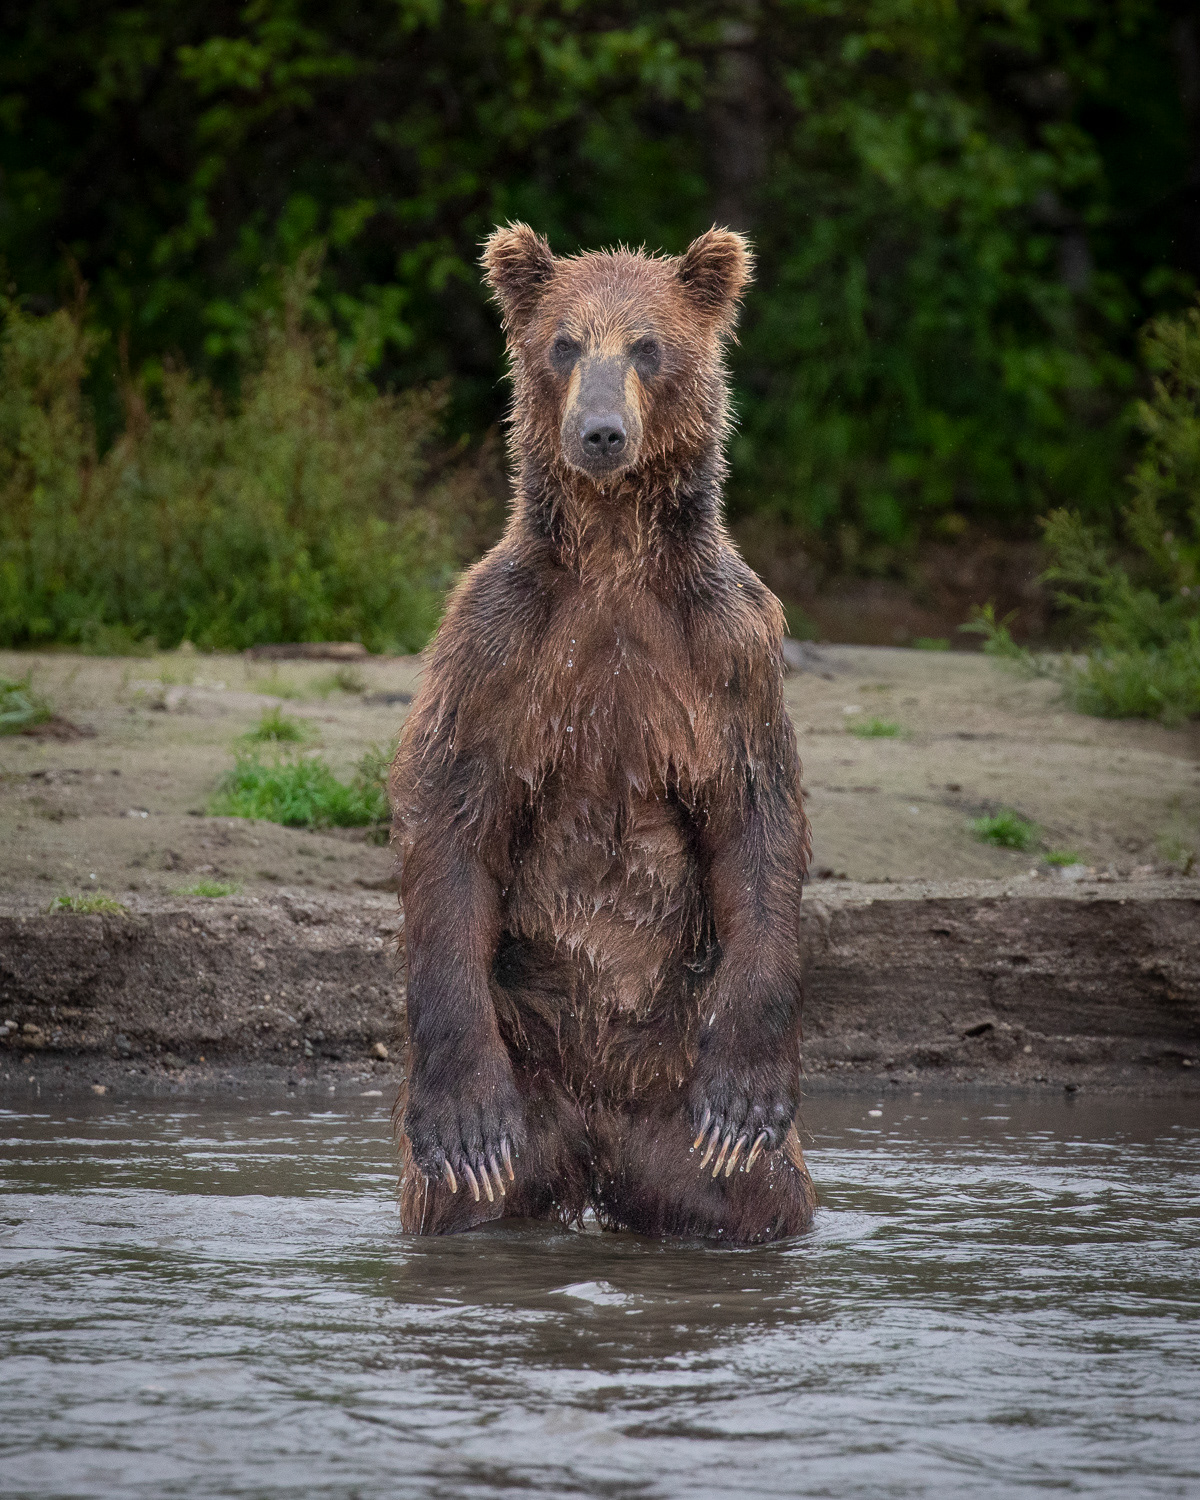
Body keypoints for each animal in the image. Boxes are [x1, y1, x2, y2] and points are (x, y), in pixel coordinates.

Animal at [389, 224, 816, 1243]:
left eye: (648, 346)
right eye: (564, 343)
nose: (600, 432)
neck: (616, 557)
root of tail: (599, 1139)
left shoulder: (729, 652)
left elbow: (758, 820)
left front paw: (748, 1101)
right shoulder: (496, 647)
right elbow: (450, 817)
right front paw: (463, 1121)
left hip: (677, 1057)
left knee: (755, 1194)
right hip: (529, 1041)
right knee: (469, 1199)